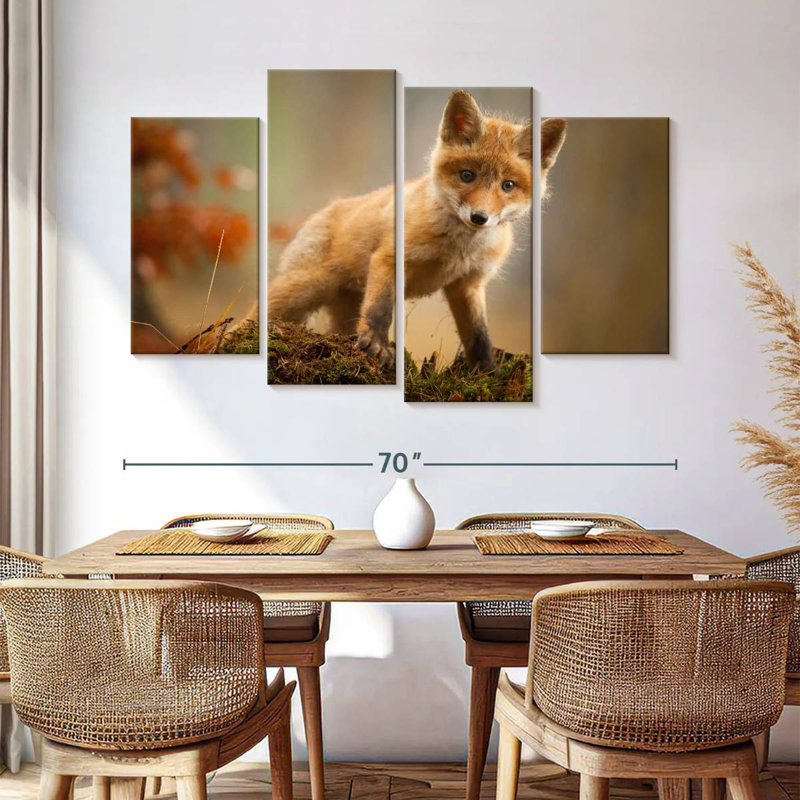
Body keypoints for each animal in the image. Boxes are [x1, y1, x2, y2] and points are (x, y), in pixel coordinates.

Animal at [266, 91, 567, 369]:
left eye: (508, 185)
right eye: (467, 175)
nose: (479, 217)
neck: (458, 248)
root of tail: (322, 211)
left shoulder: (468, 284)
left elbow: (479, 335)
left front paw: (486, 370)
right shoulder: (389, 259)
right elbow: (380, 310)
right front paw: (378, 345)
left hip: (343, 310)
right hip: (303, 290)